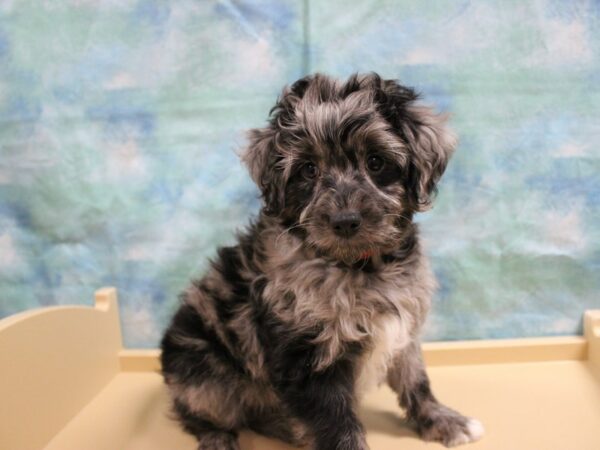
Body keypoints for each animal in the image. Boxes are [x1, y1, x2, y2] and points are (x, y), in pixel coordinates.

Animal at [159, 72, 482, 448]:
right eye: (308, 170)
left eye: (376, 162)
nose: (345, 221)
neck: (359, 265)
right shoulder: (308, 357)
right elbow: (336, 426)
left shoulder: (405, 329)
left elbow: (415, 380)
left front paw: (442, 420)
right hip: (201, 373)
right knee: (196, 410)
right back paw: (218, 437)